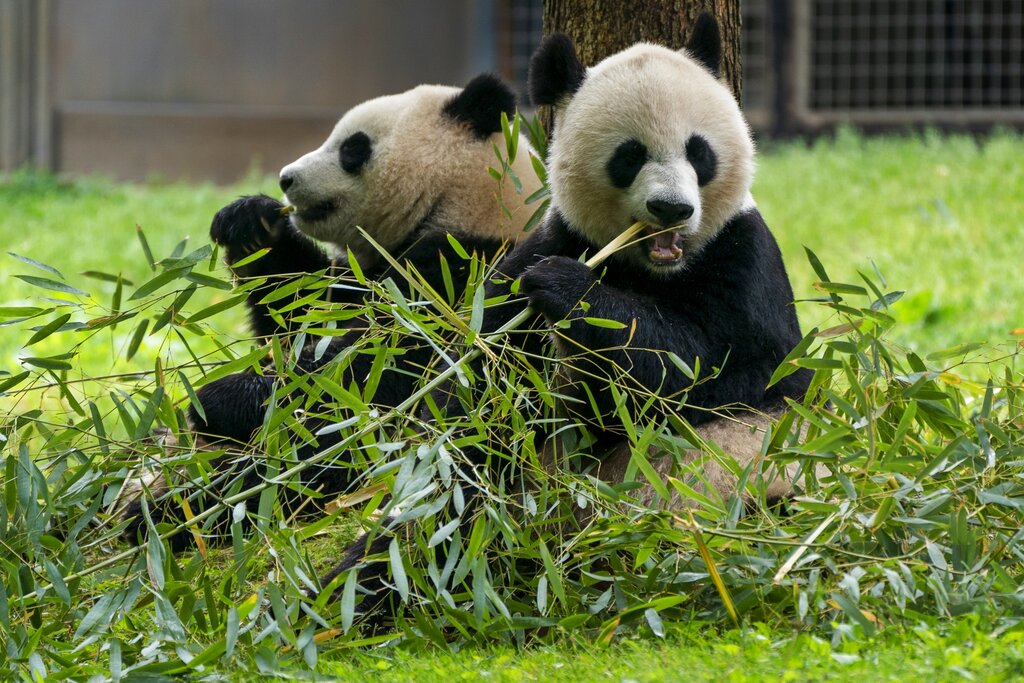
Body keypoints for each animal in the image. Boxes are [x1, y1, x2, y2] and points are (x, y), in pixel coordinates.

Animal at [121, 74, 542, 549]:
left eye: (352, 148)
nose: (285, 178)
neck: (468, 202)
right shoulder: (364, 274)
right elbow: (297, 313)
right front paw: (250, 223)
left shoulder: (465, 275)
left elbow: (376, 372)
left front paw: (218, 399)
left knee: (294, 470)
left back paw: (167, 514)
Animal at [314, 14, 815, 619]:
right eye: (629, 156)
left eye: (699, 153)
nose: (672, 209)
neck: (651, 269)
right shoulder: (544, 246)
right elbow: (481, 396)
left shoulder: (745, 262)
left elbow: (712, 371)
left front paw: (569, 290)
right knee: (447, 517)